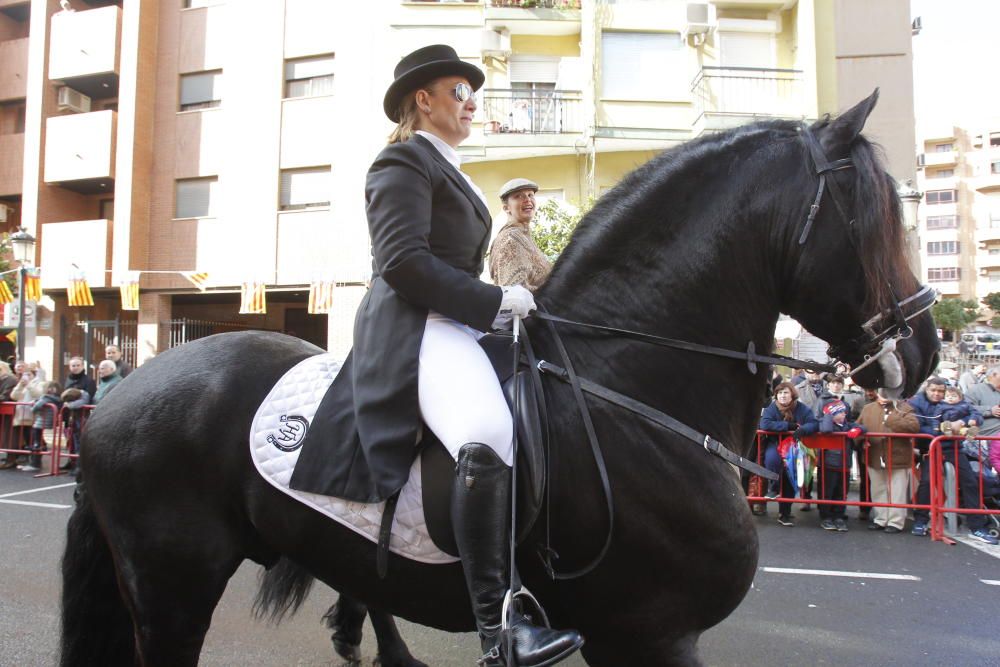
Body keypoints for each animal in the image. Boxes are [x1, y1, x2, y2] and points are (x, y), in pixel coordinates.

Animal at [60, 91, 936, 664]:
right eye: (870, 217)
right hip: (171, 589)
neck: (631, 391)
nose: (926, 351)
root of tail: (119, 393)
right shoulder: (650, 634)